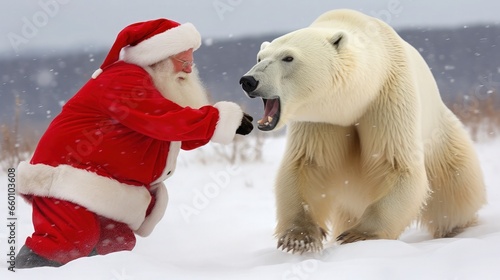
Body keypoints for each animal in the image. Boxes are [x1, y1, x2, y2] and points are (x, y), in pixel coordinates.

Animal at [240, 8, 486, 254]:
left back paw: (457, 227)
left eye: (288, 57)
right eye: (260, 57)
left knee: (456, 186)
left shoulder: (388, 95)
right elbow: (309, 163)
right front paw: (299, 238)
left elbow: (397, 164)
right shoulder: (320, 118)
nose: (248, 80)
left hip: (442, 137)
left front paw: (358, 236)